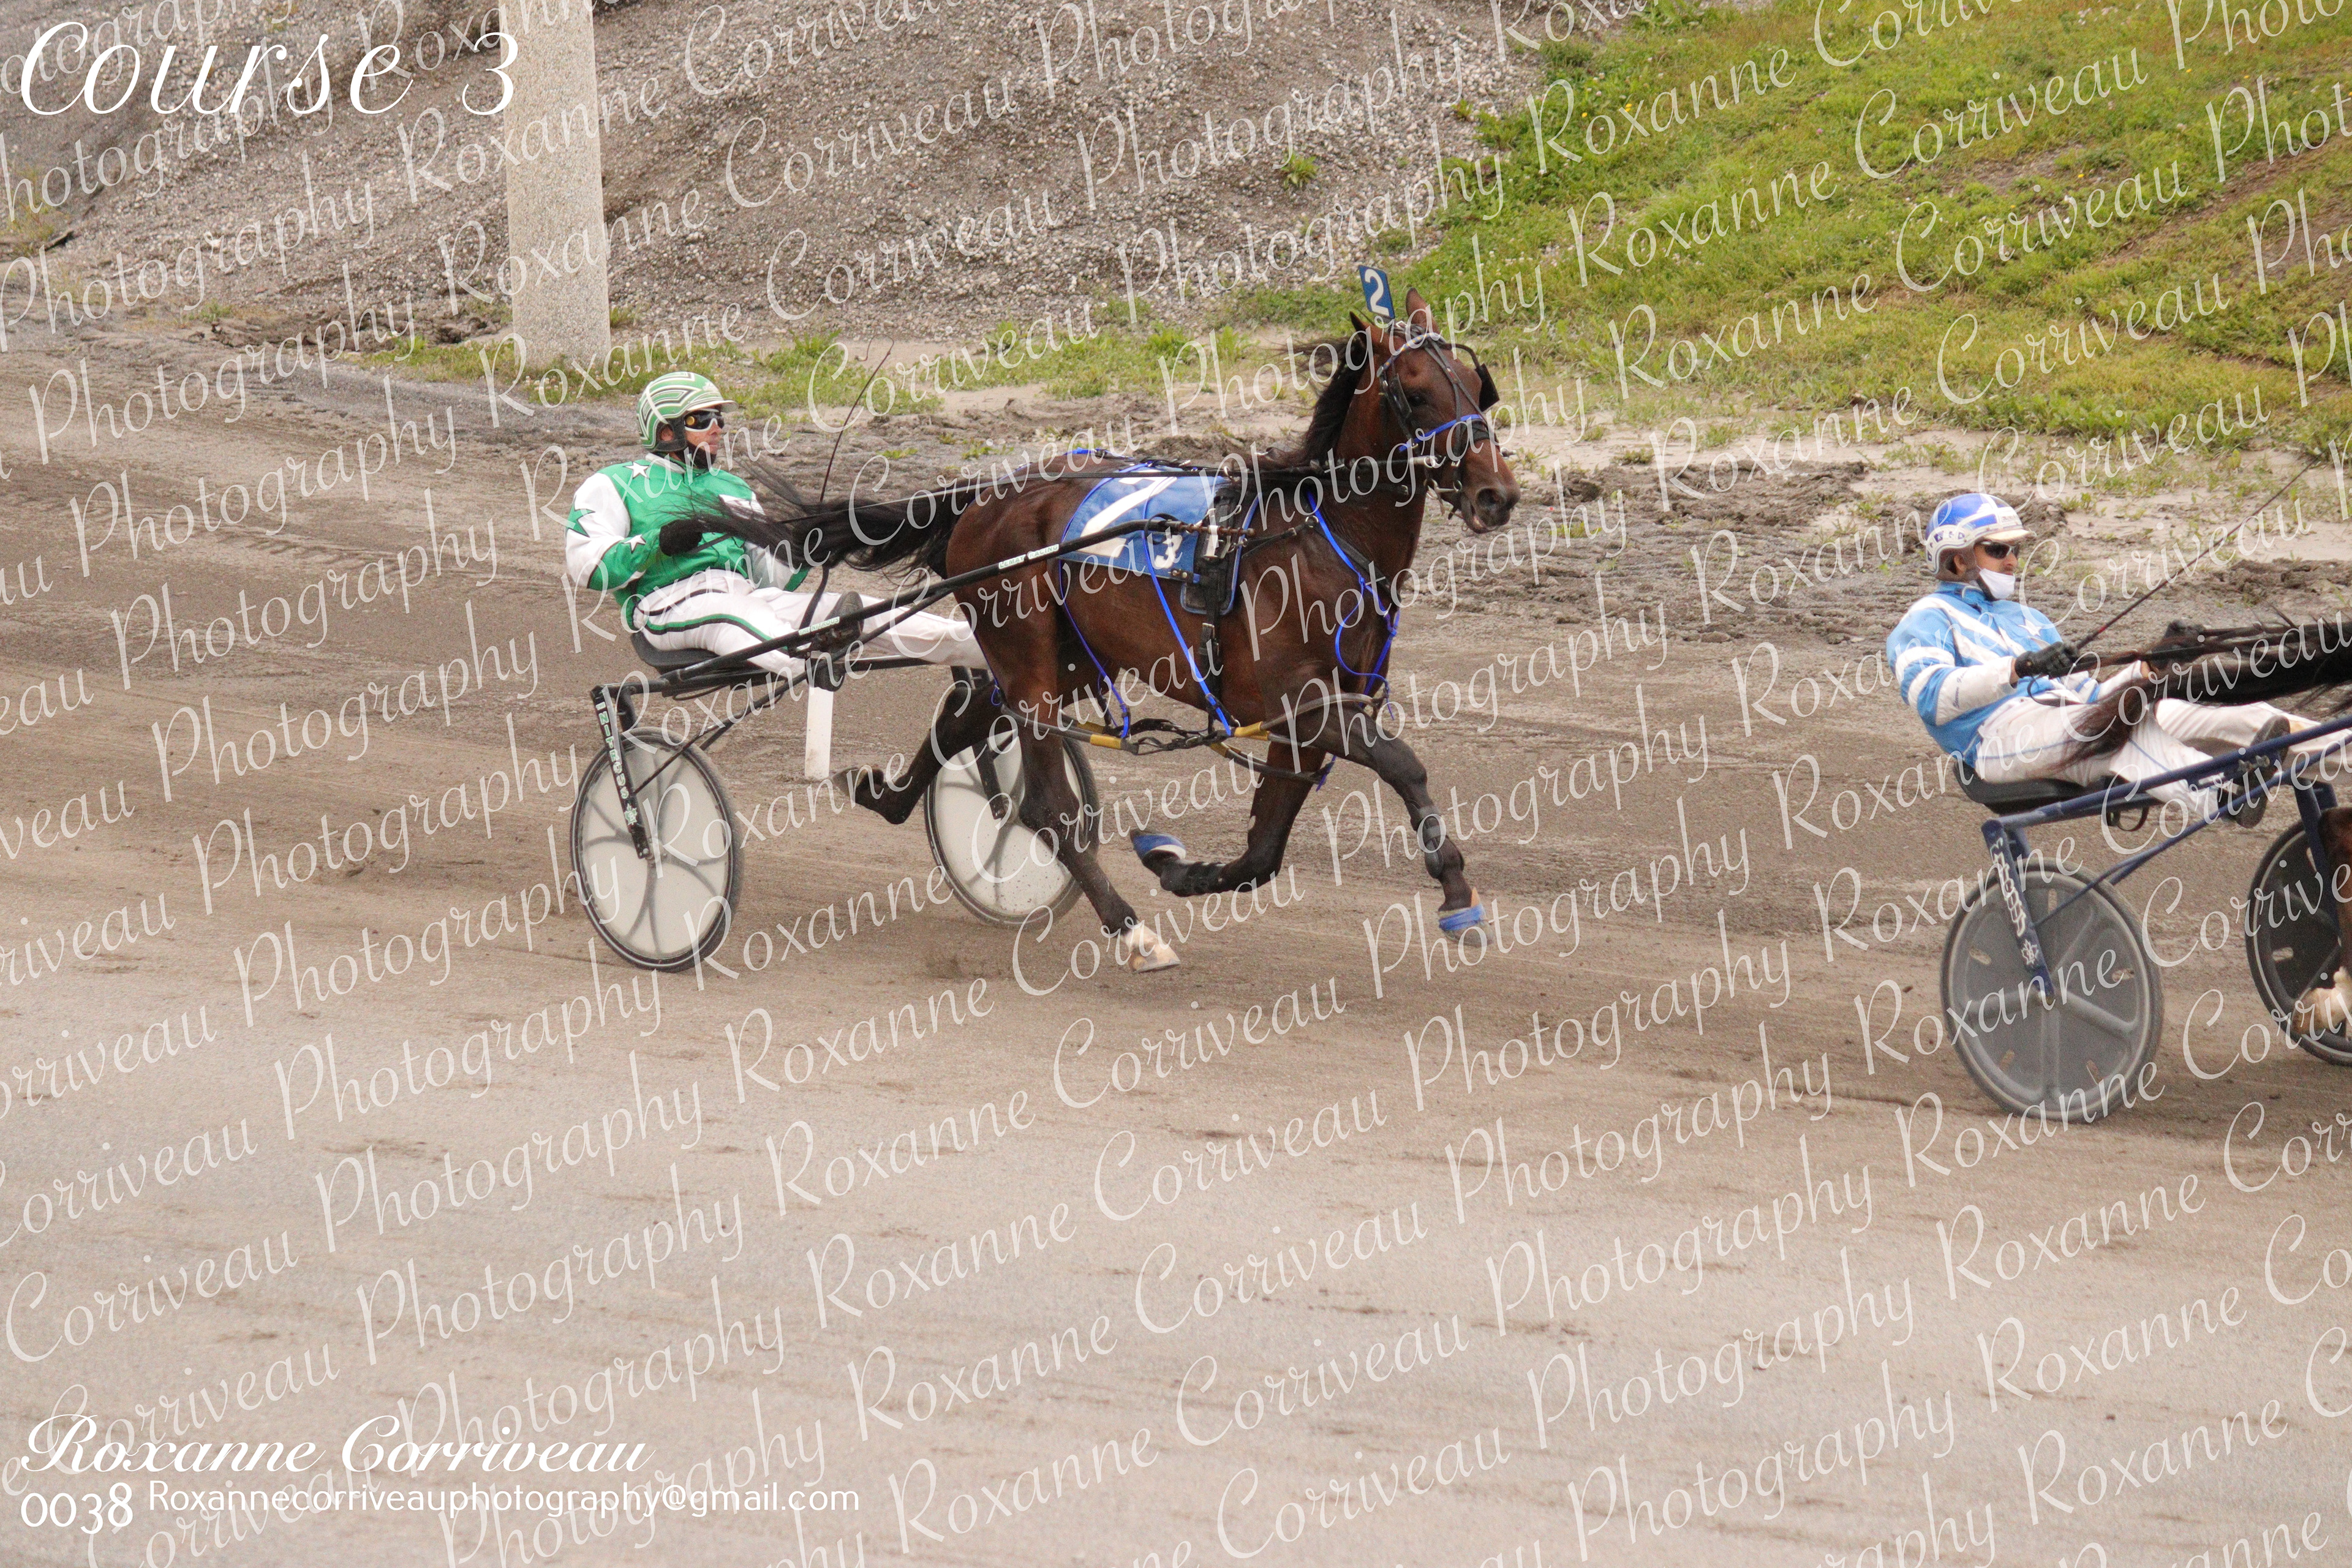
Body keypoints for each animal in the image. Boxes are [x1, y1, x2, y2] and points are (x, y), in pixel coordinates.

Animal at [699, 288, 1520, 973]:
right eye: (1414, 391)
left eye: (1477, 384)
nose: (1497, 494)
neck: (1318, 541)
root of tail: (986, 496)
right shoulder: (1306, 704)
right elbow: (1403, 764)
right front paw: (1456, 891)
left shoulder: (1304, 722)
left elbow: (1262, 851)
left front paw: (1176, 864)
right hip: (1029, 656)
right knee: (1045, 806)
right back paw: (1131, 930)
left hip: (1062, 659)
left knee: (966, 718)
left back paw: (891, 795)